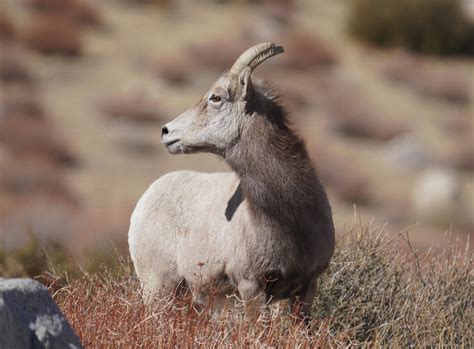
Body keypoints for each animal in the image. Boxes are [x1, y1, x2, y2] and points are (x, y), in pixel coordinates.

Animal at [130, 42, 336, 316]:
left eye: (216, 97)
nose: (166, 131)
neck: (291, 220)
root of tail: (146, 198)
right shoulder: (251, 287)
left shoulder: (306, 290)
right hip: (157, 288)